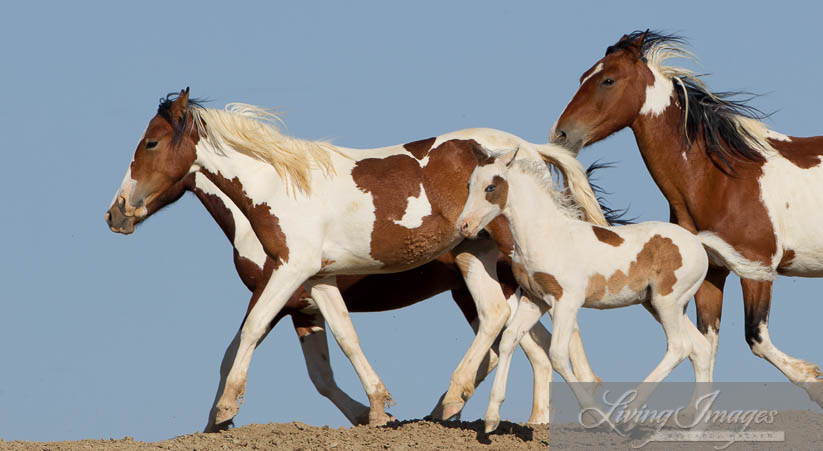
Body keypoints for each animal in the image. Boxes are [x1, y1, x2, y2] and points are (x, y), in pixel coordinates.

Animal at [106, 89, 608, 430]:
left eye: (150, 143)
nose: (116, 213)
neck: (280, 187)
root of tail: (529, 150)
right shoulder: (316, 285)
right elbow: (342, 345)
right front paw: (378, 408)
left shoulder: (287, 274)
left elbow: (248, 336)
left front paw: (226, 410)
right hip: (476, 257)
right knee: (513, 327)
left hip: (496, 260)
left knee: (520, 325)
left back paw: (462, 403)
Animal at [458, 149, 716, 434]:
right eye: (468, 185)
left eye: (490, 187)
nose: (464, 225)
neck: (545, 235)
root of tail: (698, 242)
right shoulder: (535, 300)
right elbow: (509, 340)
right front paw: (491, 418)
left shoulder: (567, 301)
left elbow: (558, 356)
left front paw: (599, 418)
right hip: (662, 305)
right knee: (700, 349)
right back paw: (695, 431)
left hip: (666, 302)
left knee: (680, 347)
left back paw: (628, 414)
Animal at [552, 30, 823, 404]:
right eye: (582, 78)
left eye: (608, 80)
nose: (561, 134)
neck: (722, 177)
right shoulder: (712, 274)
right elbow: (705, 349)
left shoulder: (757, 268)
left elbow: (757, 338)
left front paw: (815, 381)